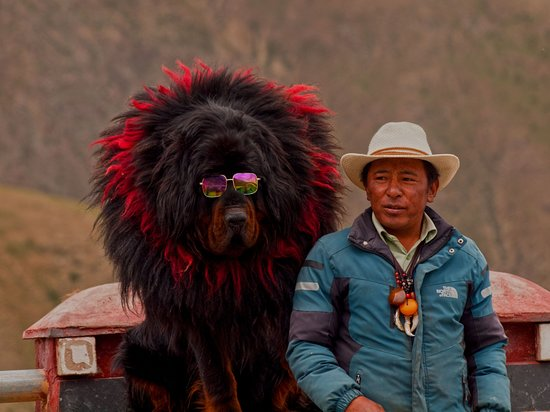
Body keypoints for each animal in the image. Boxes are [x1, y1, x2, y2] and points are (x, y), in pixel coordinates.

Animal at [89, 62, 342, 412]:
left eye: (251, 182)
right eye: (211, 186)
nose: (236, 219)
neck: (235, 268)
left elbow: (292, 365)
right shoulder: (198, 310)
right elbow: (218, 378)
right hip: (141, 356)